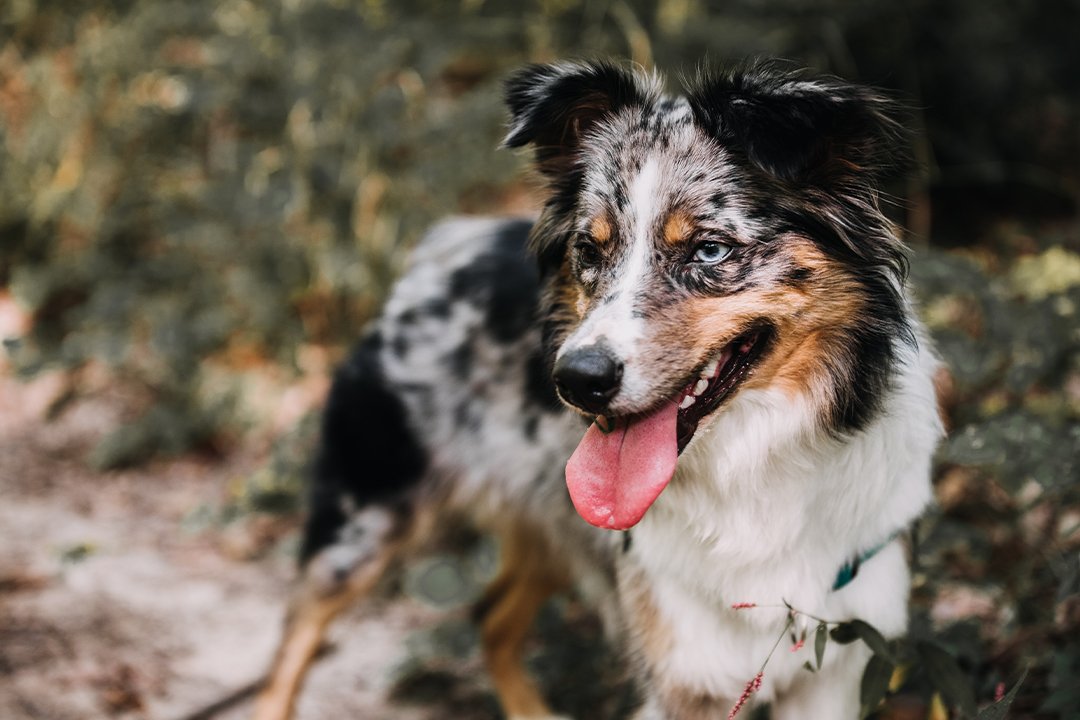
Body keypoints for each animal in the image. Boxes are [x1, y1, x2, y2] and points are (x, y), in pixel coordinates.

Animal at [250, 57, 937, 720]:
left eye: (710, 250)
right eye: (590, 248)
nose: (578, 380)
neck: (751, 465)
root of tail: (445, 248)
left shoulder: (835, 664)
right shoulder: (686, 669)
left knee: (490, 618)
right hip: (366, 518)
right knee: (292, 639)